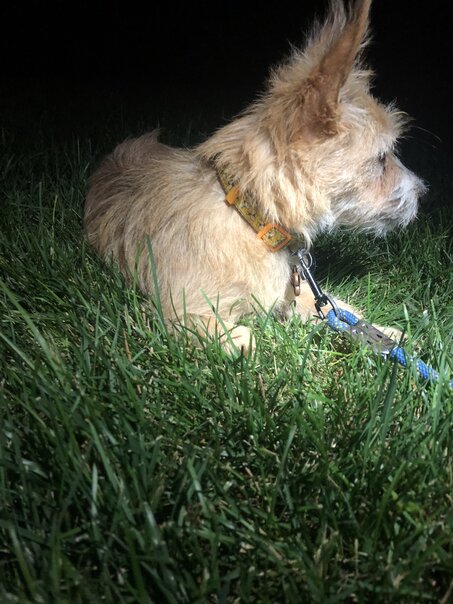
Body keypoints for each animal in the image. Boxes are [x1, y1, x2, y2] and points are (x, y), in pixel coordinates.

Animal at [85, 0, 425, 354]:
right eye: (382, 158)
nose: (423, 192)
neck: (251, 215)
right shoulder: (176, 312)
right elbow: (247, 340)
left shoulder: (296, 292)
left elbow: (339, 309)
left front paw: (387, 335)